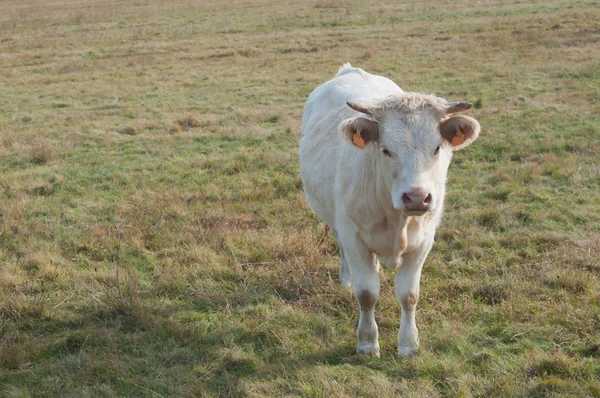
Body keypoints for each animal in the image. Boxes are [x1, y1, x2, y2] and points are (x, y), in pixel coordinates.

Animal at [300, 63, 482, 358]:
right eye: (386, 150)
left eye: (437, 148)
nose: (417, 197)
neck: (398, 221)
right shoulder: (354, 237)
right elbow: (366, 293)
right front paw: (366, 343)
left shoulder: (424, 242)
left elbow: (409, 295)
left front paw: (408, 344)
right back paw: (346, 278)